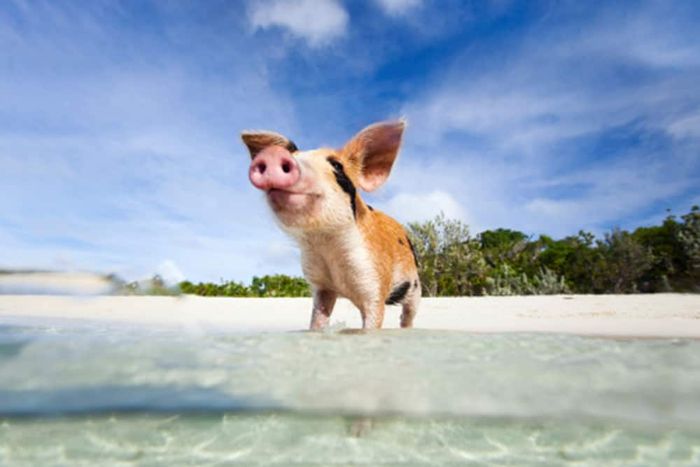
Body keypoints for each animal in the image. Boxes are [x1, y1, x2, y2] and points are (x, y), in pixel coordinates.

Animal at [241, 122, 422, 330]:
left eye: (337, 165)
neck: (327, 246)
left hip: (415, 286)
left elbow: (373, 319)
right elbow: (318, 318)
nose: (273, 155)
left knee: (408, 314)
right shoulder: (322, 286)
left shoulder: (374, 280)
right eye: (294, 155)